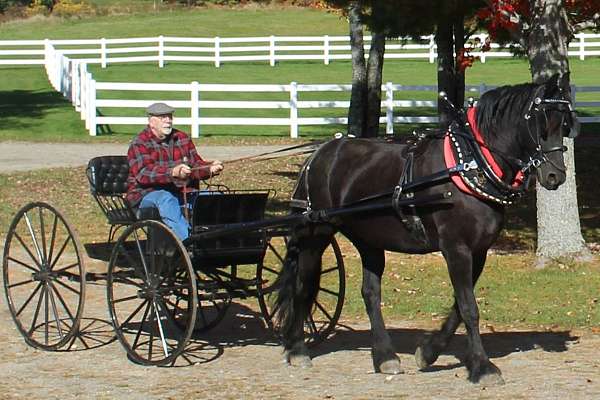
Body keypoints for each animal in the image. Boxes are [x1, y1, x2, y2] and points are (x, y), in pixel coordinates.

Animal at [274, 74, 580, 384]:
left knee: (370, 293)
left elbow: (459, 306)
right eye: (542, 123)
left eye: (565, 124)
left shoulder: (478, 251)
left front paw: (430, 351)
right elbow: (469, 308)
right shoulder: (455, 248)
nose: (555, 176)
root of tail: (318, 154)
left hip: (369, 239)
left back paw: (385, 357)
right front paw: (482, 366)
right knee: (303, 286)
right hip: (315, 233)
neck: (469, 163)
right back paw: (297, 349)